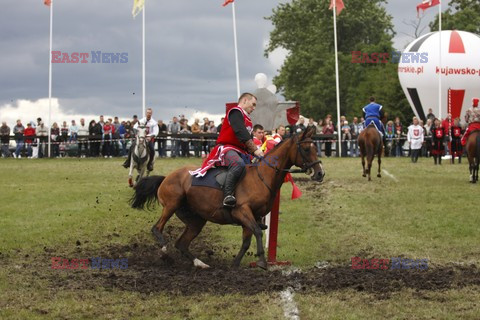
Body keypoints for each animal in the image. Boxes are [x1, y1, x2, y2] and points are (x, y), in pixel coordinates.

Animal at [129, 126, 324, 268]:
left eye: (315, 148)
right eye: (306, 149)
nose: (320, 173)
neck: (261, 177)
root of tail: (166, 177)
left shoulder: (251, 217)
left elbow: (247, 240)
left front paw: (235, 264)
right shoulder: (242, 211)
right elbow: (258, 232)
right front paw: (262, 262)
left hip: (196, 220)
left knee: (182, 244)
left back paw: (200, 264)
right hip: (171, 205)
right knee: (157, 229)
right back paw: (164, 250)